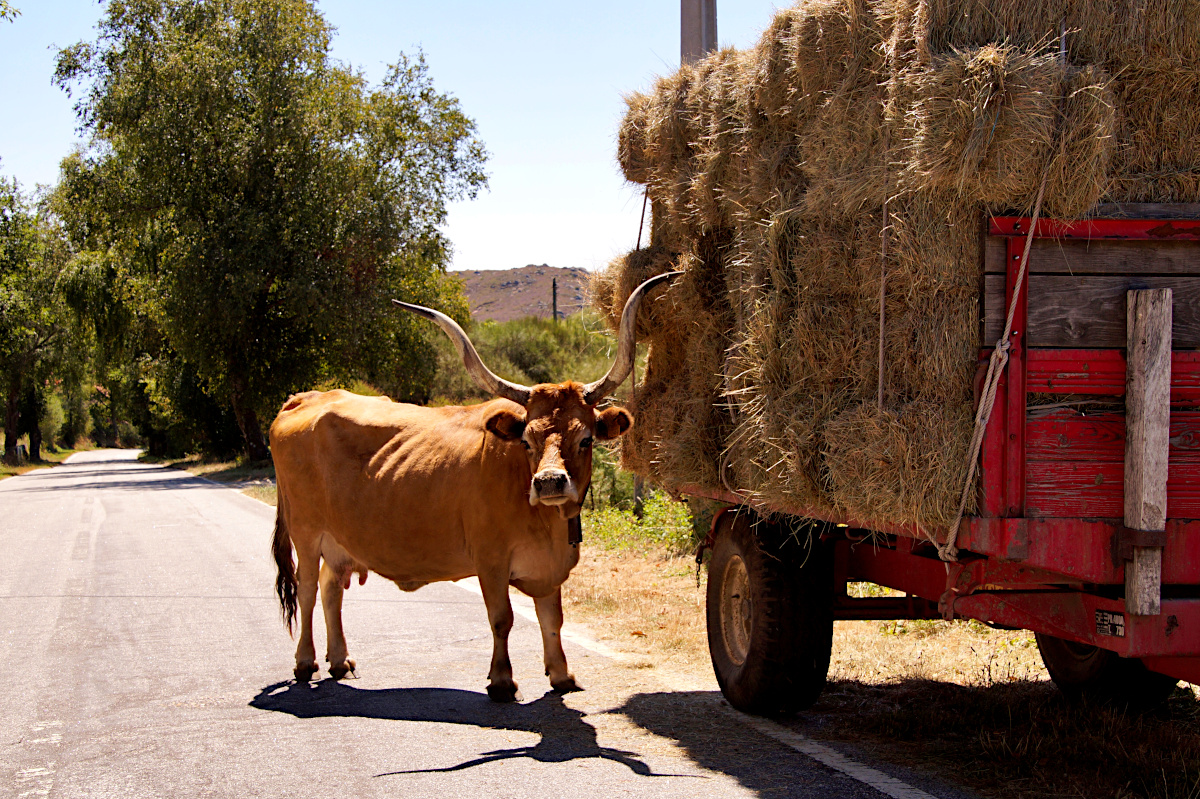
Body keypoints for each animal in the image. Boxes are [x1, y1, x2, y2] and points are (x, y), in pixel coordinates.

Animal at [274, 272, 686, 695]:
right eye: (526, 441)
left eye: (585, 439)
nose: (550, 483)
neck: (546, 524)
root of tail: (305, 398)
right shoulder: (490, 561)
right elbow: (502, 619)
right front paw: (502, 680)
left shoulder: (549, 570)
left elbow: (552, 619)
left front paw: (561, 674)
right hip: (305, 533)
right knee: (307, 589)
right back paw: (305, 662)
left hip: (338, 542)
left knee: (330, 588)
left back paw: (340, 660)